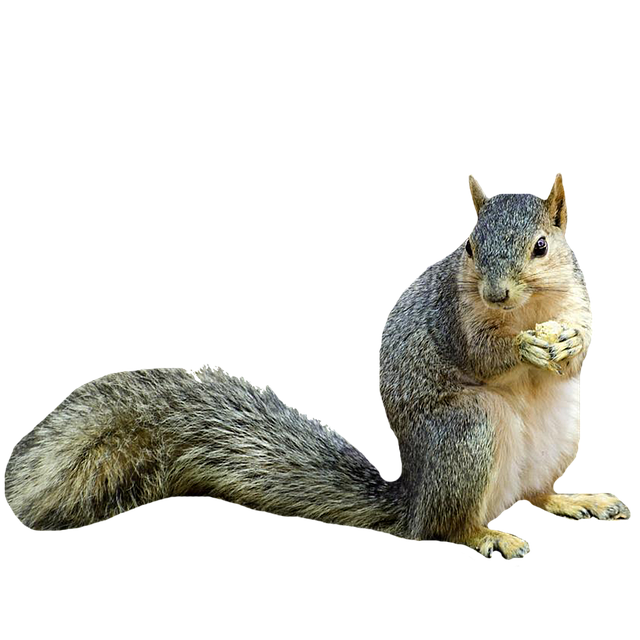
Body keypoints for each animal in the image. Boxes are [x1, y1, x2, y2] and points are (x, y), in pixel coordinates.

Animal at [3, 172, 632, 558]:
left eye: (542, 246)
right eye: (471, 247)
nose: (497, 294)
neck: (530, 309)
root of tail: (414, 501)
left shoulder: (579, 295)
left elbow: (586, 342)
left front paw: (566, 344)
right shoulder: (454, 318)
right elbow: (480, 351)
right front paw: (524, 347)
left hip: (559, 439)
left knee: (535, 495)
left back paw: (576, 499)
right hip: (468, 434)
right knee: (447, 528)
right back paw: (488, 537)